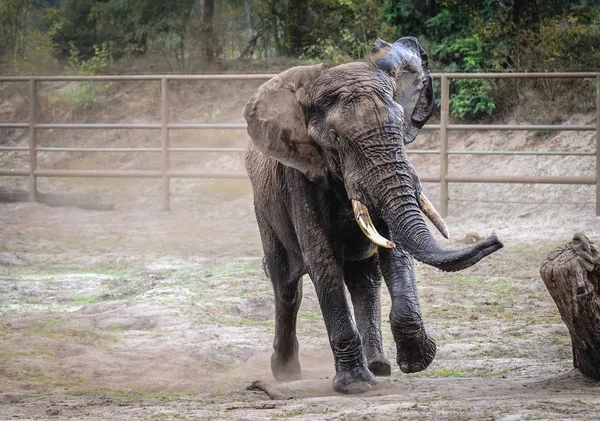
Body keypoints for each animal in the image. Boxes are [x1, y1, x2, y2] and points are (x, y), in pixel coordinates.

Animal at [243, 37, 502, 394]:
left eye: (398, 128)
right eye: (336, 139)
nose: (495, 239)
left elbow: (396, 250)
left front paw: (417, 361)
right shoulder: (301, 177)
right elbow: (321, 260)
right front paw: (355, 386)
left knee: (364, 281)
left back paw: (378, 366)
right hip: (263, 209)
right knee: (286, 287)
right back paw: (286, 373)